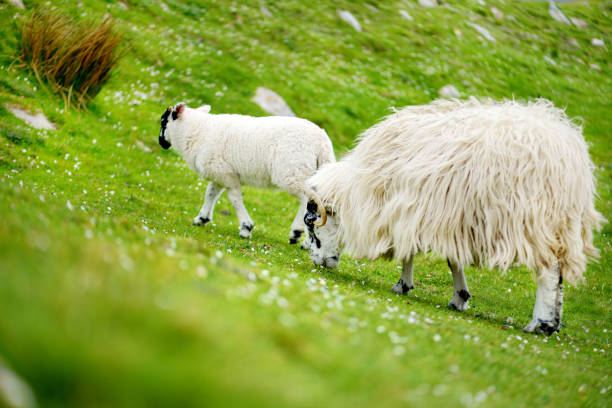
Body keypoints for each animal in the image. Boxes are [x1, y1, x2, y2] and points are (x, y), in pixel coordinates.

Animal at [155, 103, 332, 242]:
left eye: (163, 121)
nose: (161, 142)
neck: (197, 131)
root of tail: (322, 144)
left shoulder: (226, 175)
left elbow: (235, 199)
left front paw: (246, 228)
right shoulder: (220, 173)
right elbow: (210, 194)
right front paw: (201, 219)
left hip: (293, 174)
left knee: (309, 200)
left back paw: (296, 232)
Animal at [304, 99, 604, 334]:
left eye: (313, 227)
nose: (318, 263)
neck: (363, 189)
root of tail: (569, 154)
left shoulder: (414, 210)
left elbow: (412, 251)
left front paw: (403, 285)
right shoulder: (449, 218)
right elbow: (452, 259)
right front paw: (459, 297)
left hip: (533, 220)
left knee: (548, 270)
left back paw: (539, 322)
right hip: (560, 224)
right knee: (560, 271)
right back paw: (553, 323)